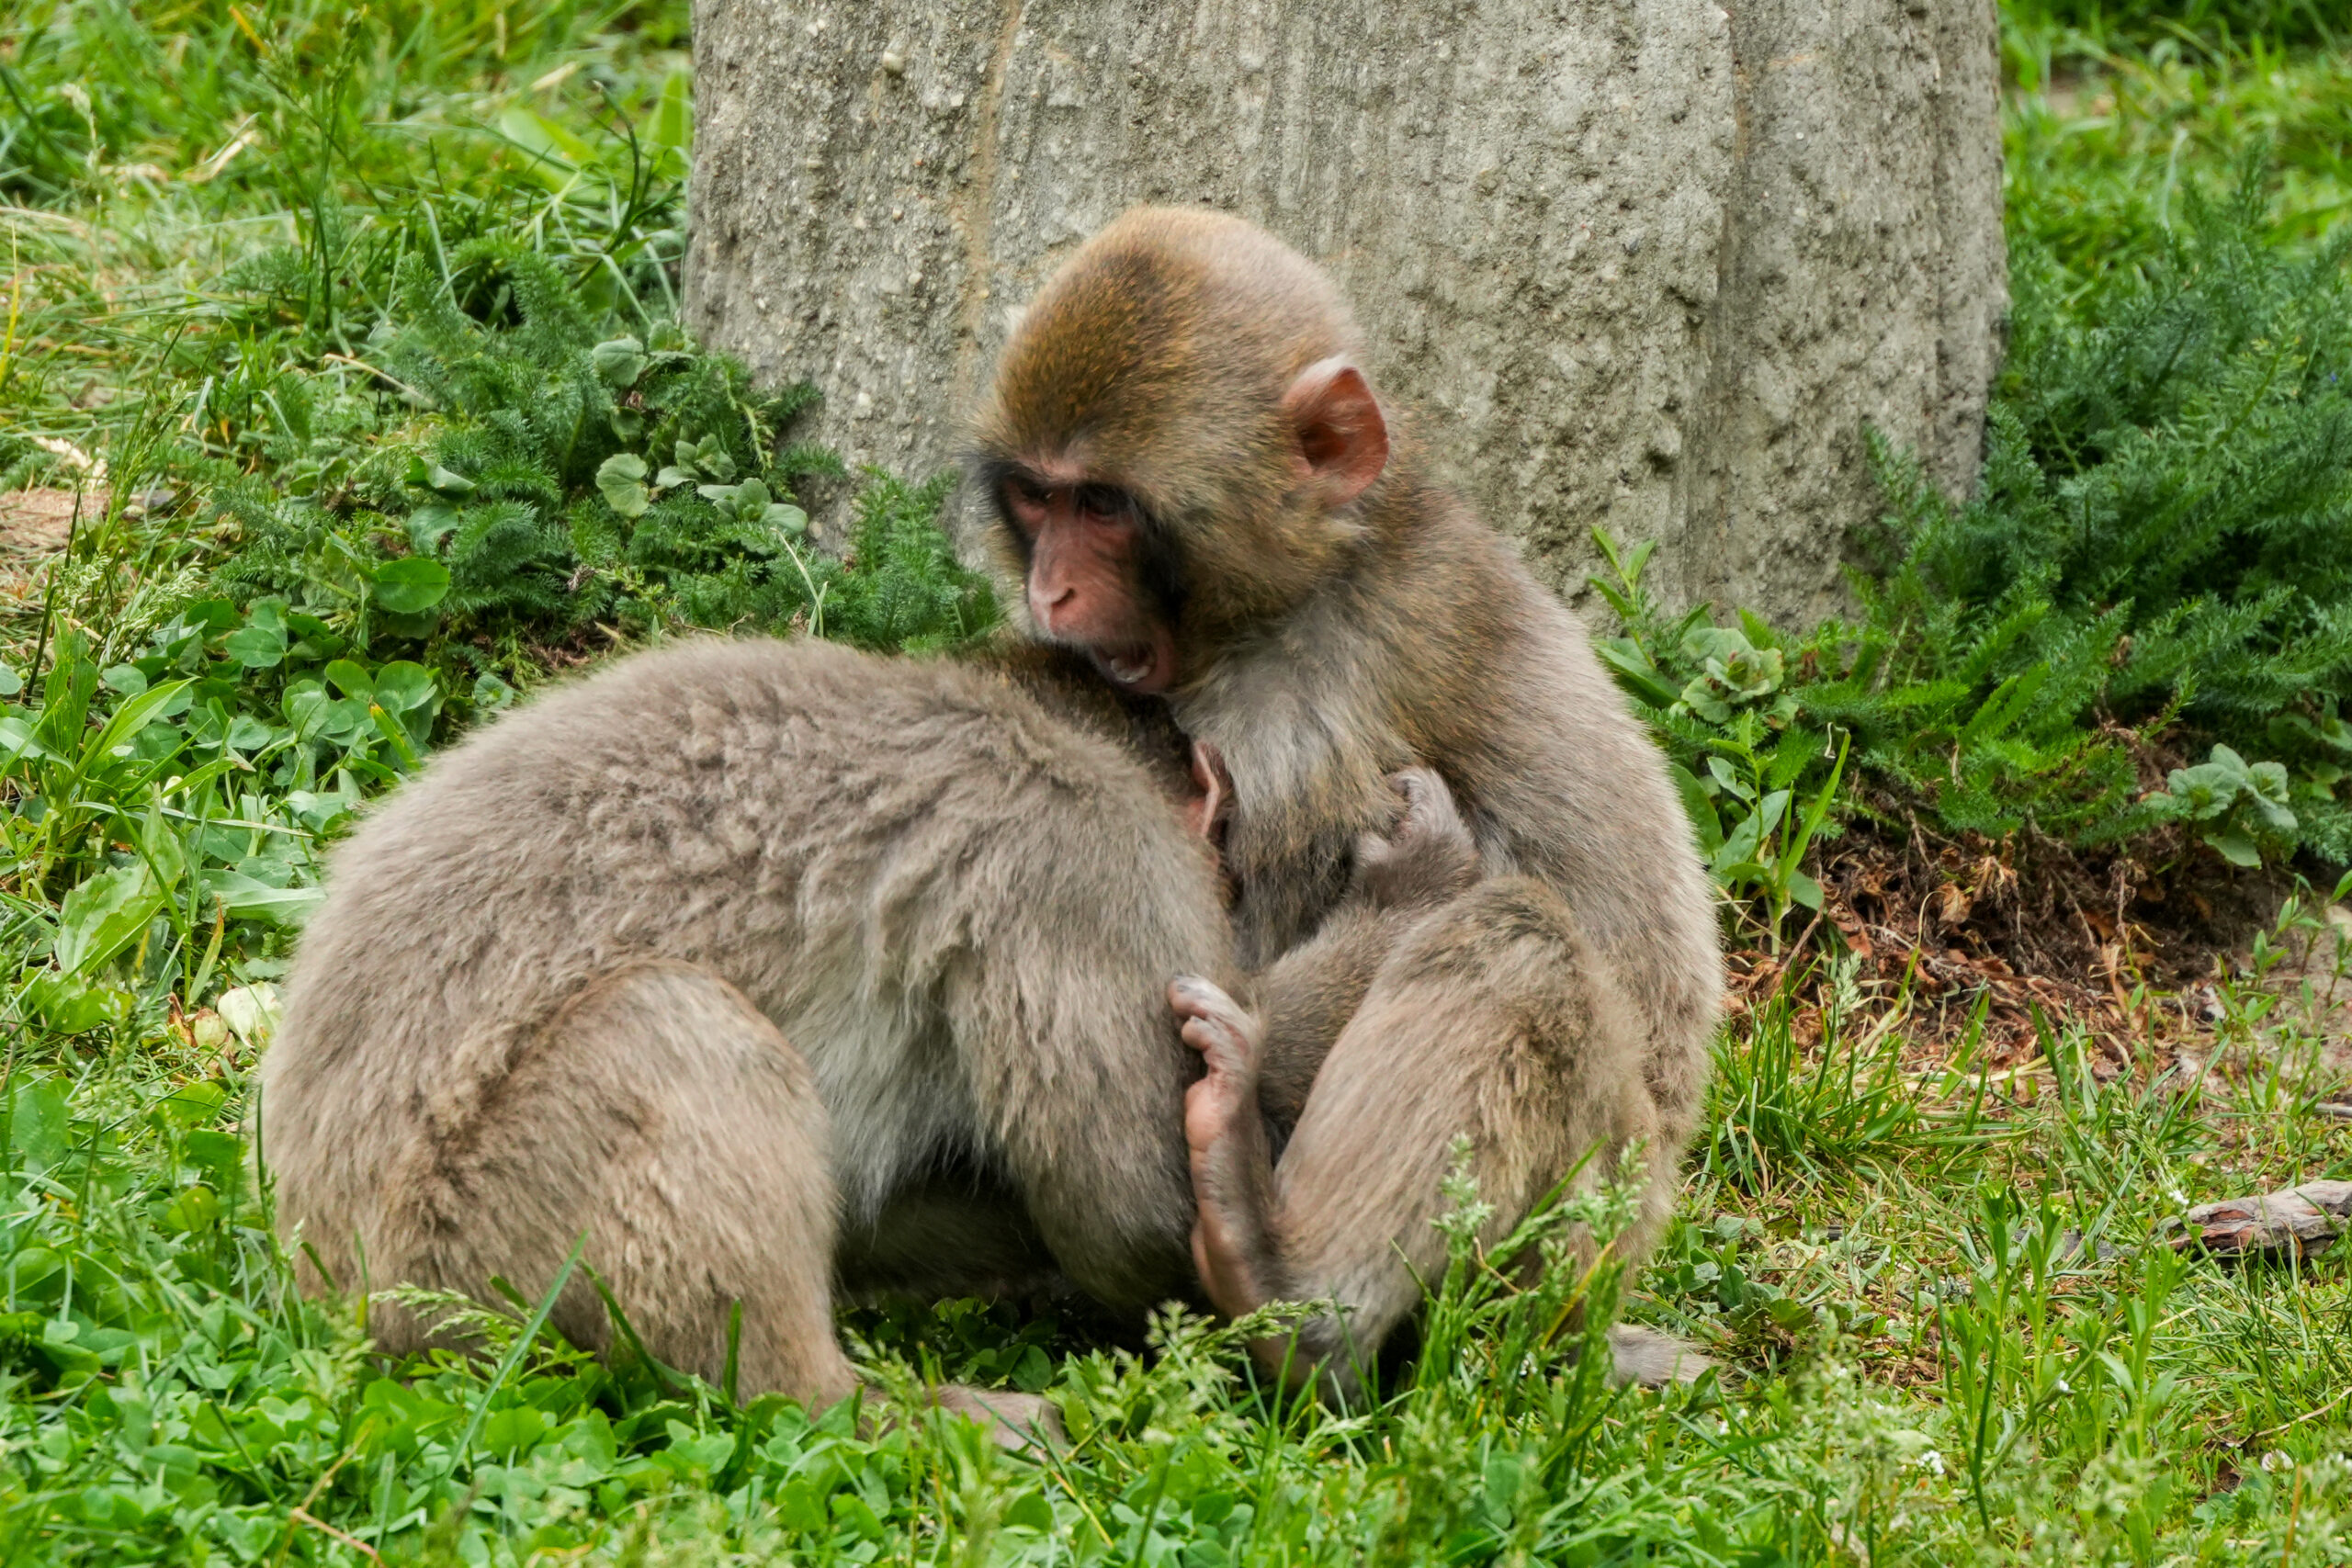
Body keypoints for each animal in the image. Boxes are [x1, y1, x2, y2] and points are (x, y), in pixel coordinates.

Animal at [258, 634, 1482, 1441]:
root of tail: (323, 1275)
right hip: (459, 1250)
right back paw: (857, 1406)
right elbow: (1124, 1206)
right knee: (667, 1029)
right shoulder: (1085, 851)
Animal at [967, 206, 1724, 1395]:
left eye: (1104, 505)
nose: (1050, 590)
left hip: (1553, 1237)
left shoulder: (1314, 721)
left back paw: (1278, 1280)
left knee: (1520, 940)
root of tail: (1601, 1295)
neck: (1296, 591)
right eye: (1037, 498)